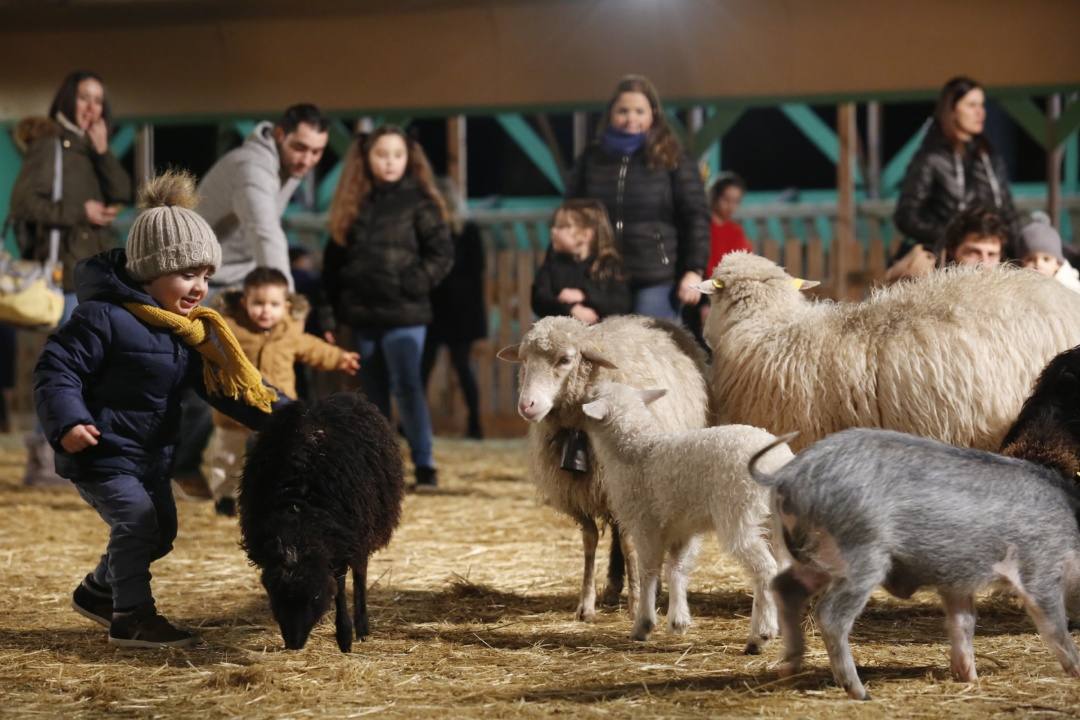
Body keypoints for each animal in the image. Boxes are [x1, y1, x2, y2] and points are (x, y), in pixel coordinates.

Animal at [238, 395, 403, 651]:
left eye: (315, 595)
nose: (293, 644)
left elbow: (341, 586)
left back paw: (362, 627)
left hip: (363, 531)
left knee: (360, 574)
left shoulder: (344, 541)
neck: (297, 515)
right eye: (273, 593)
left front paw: (344, 635)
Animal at [498, 313, 717, 621]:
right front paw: (586, 605)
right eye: (523, 359)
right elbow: (590, 542)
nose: (527, 405)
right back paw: (614, 586)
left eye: (565, 359)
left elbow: (628, 543)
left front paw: (637, 603)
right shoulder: (578, 493)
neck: (577, 427)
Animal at [583, 382, 794, 651]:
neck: (638, 450)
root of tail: (776, 463)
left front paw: (643, 624)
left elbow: (648, 571)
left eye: (594, 396)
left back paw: (761, 635)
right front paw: (678, 620)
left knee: (765, 569)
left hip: (739, 513)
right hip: (780, 523)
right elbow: (677, 568)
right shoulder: (683, 527)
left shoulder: (645, 524)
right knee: (780, 569)